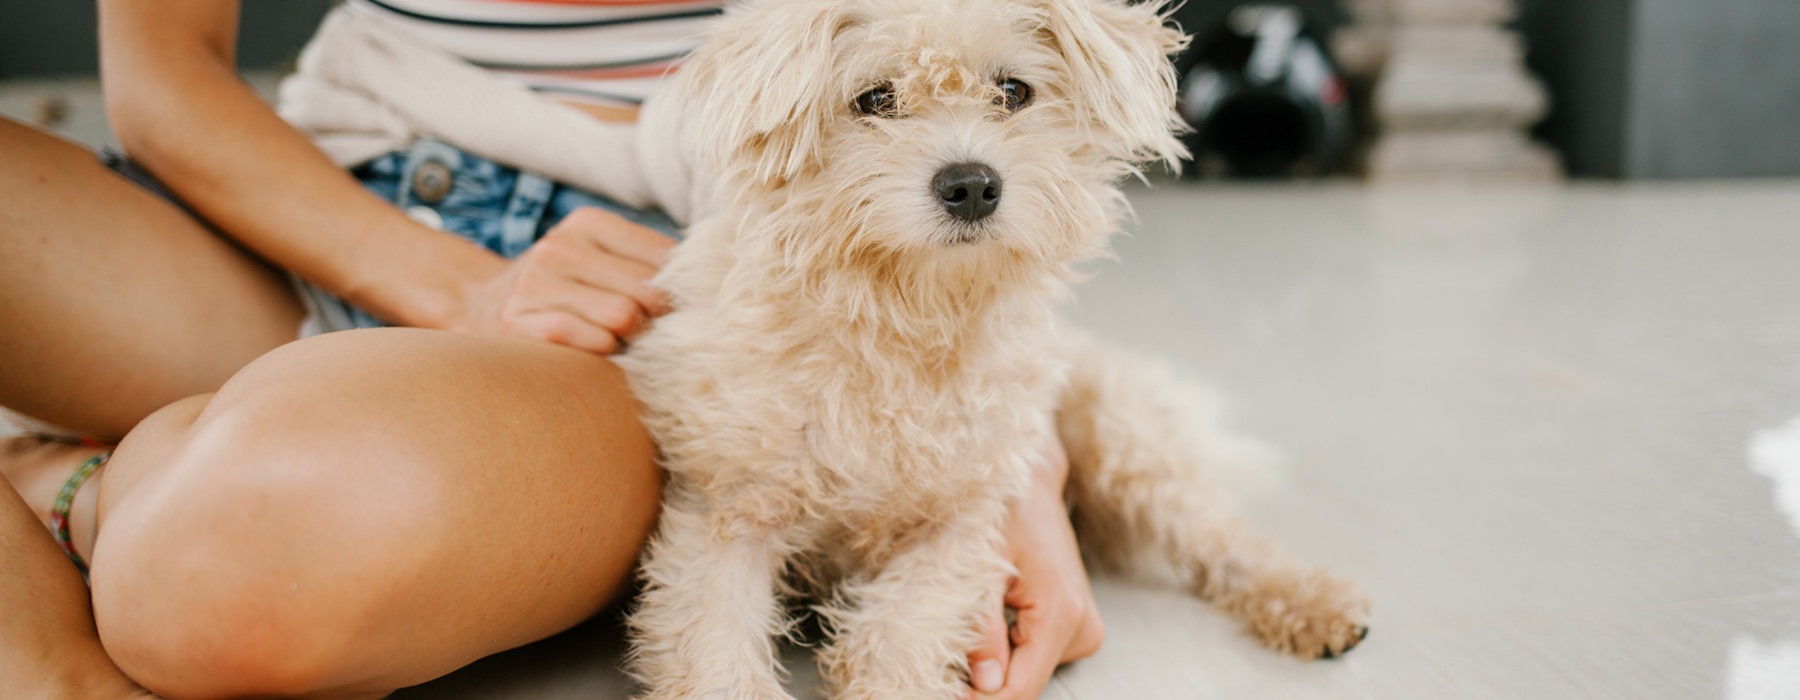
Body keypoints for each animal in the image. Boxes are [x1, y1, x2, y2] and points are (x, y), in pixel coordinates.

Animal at [615, 0, 1360, 691]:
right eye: (876, 98)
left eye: (1013, 90)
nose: (971, 184)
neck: (906, 322)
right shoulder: (724, 514)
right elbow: (717, 656)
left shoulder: (962, 524)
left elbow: (900, 638)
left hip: (1121, 441)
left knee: (1219, 534)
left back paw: (1313, 603)